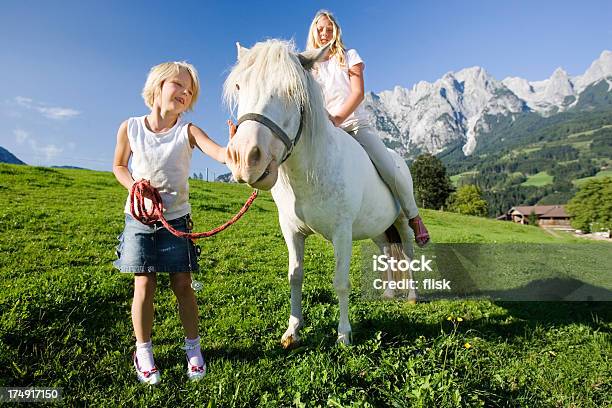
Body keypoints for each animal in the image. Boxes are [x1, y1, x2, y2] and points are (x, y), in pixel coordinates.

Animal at [225, 39, 416, 346]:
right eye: (240, 86)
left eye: (292, 90)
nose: (244, 158)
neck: (311, 171)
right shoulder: (291, 231)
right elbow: (295, 276)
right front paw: (293, 329)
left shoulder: (342, 233)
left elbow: (340, 282)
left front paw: (344, 334)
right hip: (378, 229)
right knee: (387, 252)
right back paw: (388, 293)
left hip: (402, 221)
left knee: (408, 251)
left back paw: (411, 295)